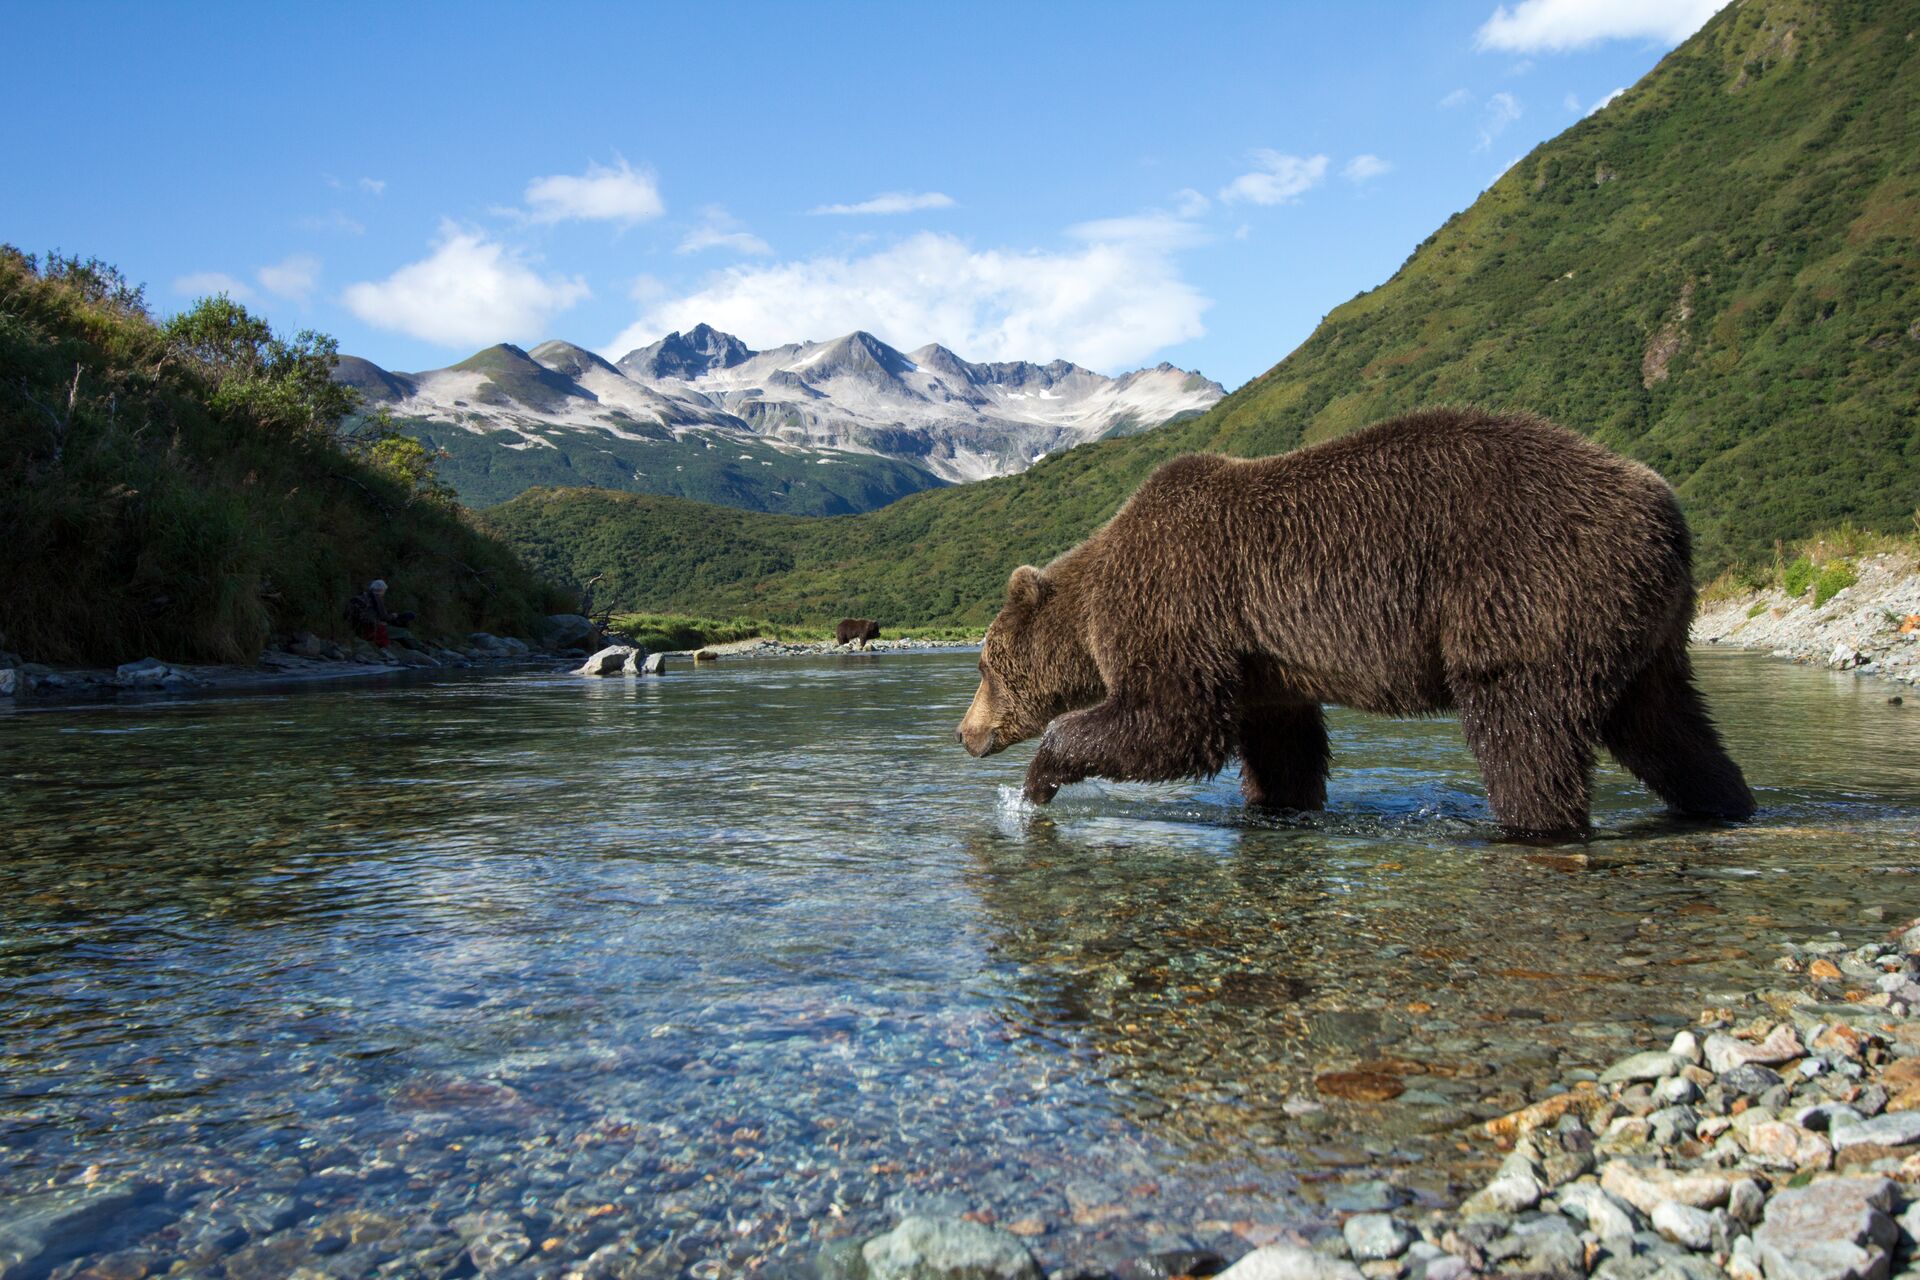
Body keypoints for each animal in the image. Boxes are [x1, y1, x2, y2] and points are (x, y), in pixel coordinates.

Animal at [954, 407, 1756, 835]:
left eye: (985, 664)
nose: (965, 733)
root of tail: (1667, 514)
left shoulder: (1181, 604)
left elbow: (1174, 719)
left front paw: (1040, 777)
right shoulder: (1264, 661)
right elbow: (1280, 746)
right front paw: (1279, 805)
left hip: (1529, 591)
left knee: (1525, 729)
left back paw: (1532, 824)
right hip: (1641, 628)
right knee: (1667, 727)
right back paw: (1724, 802)